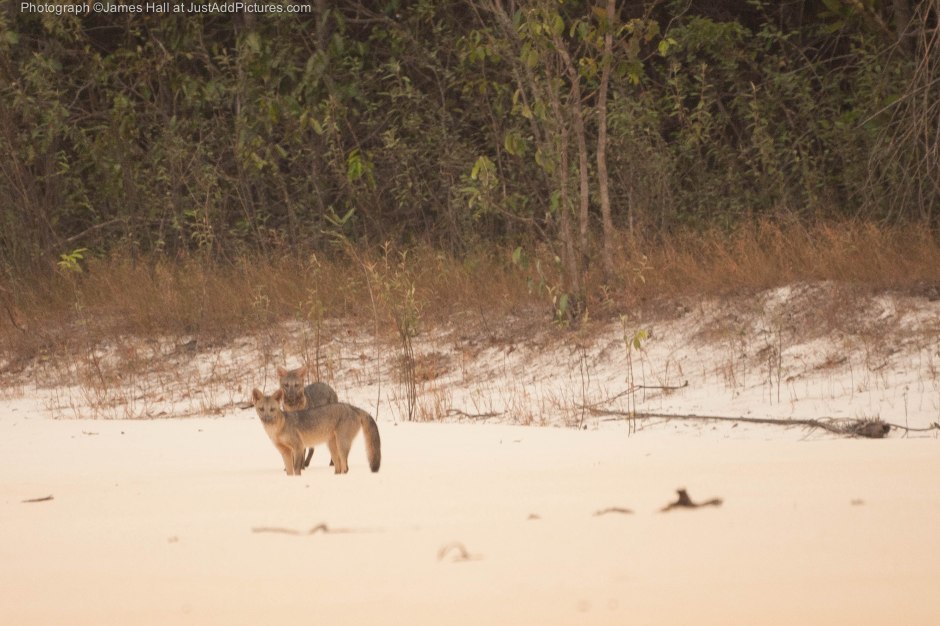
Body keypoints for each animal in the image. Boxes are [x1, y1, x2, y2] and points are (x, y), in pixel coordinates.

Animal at [251, 388, 381, 476]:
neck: (278, 430)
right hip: (332, 446)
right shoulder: (285, 451)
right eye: (261, 409)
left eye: (272, 409)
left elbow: (297, 470)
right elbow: (289, 472)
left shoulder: (299, 447)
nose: (267, 419)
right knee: (338, 468)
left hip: (341, 445)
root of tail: (352, 407)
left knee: (345, 468)